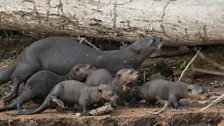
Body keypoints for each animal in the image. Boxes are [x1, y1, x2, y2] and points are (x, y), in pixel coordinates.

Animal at [0, 36, 162, 103]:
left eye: (153, 35)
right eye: (152, 40)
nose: (161, 38)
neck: (122, 57)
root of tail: (22, 54)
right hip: (29, 64)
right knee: (16, 77)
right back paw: (9, 96)